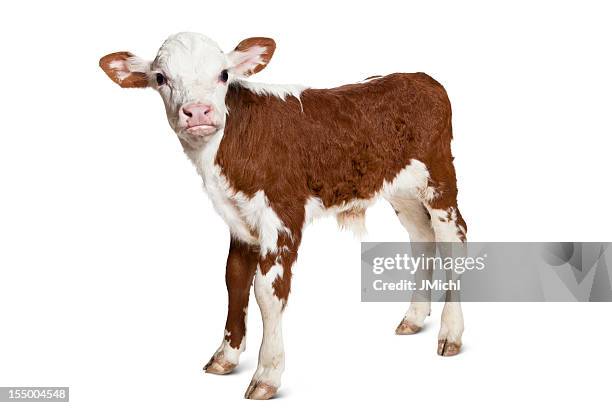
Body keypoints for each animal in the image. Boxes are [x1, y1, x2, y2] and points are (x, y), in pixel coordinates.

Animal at [100, 32, 466, 402]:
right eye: (161, 78)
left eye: (223, 75)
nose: (198, 111)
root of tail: (418, 77)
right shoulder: (239, 220)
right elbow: (234, 280)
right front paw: (225, 357)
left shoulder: (283, 216)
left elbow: (266, 292)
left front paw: (267, 374)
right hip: (400, 189)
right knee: (422, 239)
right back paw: (415, 317)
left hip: (439, 178)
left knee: (454, 240)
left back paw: (450, 332)